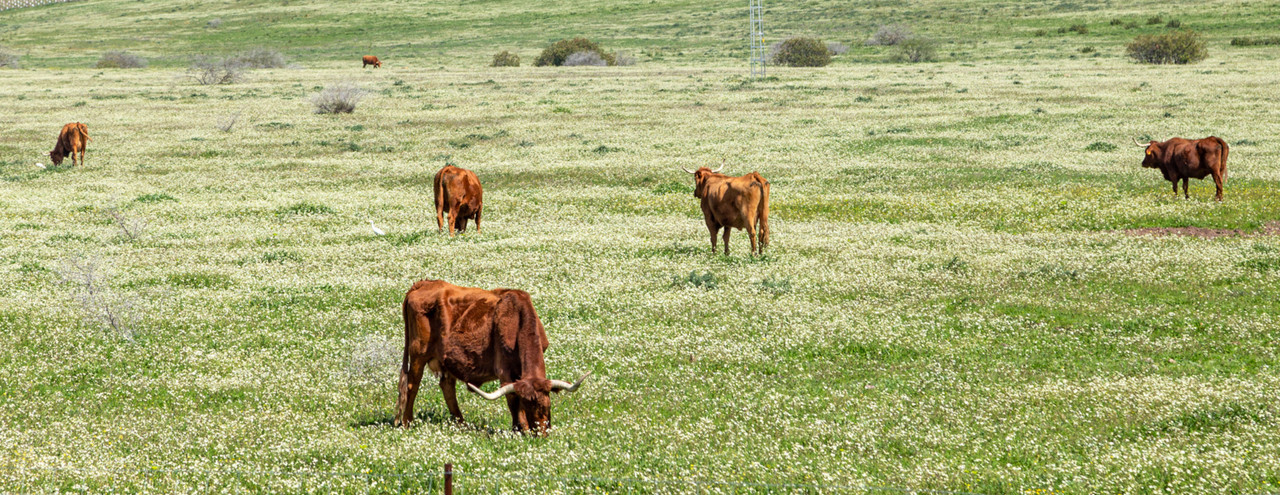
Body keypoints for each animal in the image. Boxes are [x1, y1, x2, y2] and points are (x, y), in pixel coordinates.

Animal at [394, 281, 588, 437]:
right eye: (528, 405)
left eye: (547, 404)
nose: (541, 433)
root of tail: (422, 284)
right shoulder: (504, 371)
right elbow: (513, 400)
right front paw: (519, 429)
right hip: (418, 353)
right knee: (412, 385)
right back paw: (407, 423)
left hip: (445, 359)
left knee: (447, 387)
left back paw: (462, 424)